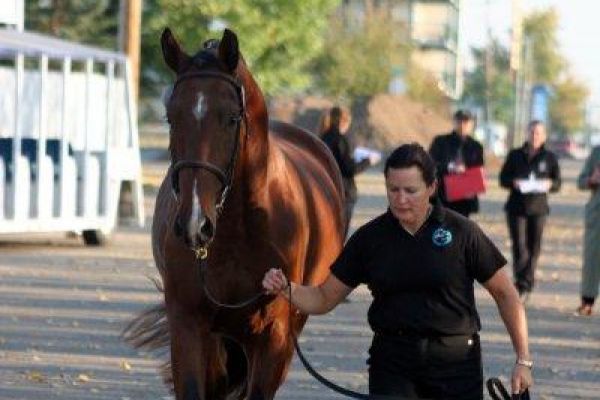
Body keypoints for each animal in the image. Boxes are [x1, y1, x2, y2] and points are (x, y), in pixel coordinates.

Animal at [123, 28, 346, 400]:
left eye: (230, 118)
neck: (239, 231)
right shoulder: (189, 325)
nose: (195, 224)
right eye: (171, 117)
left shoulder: (274, 336)